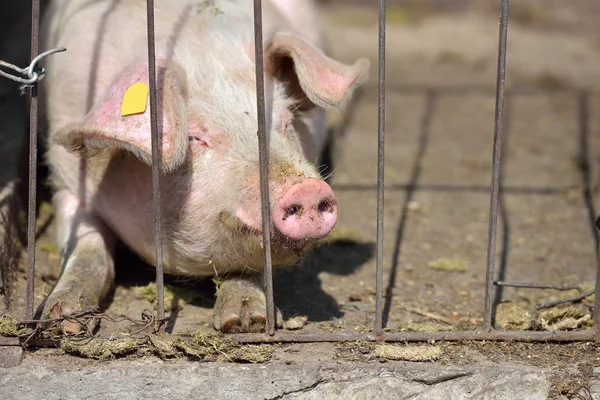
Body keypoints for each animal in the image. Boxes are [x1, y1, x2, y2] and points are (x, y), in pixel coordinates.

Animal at [37, 0, 368, 332]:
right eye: (194, 137)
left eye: (286, 122)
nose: (306, 188)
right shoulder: (67, 180)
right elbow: (86, 245)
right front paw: (61, 320)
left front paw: (245, 321)